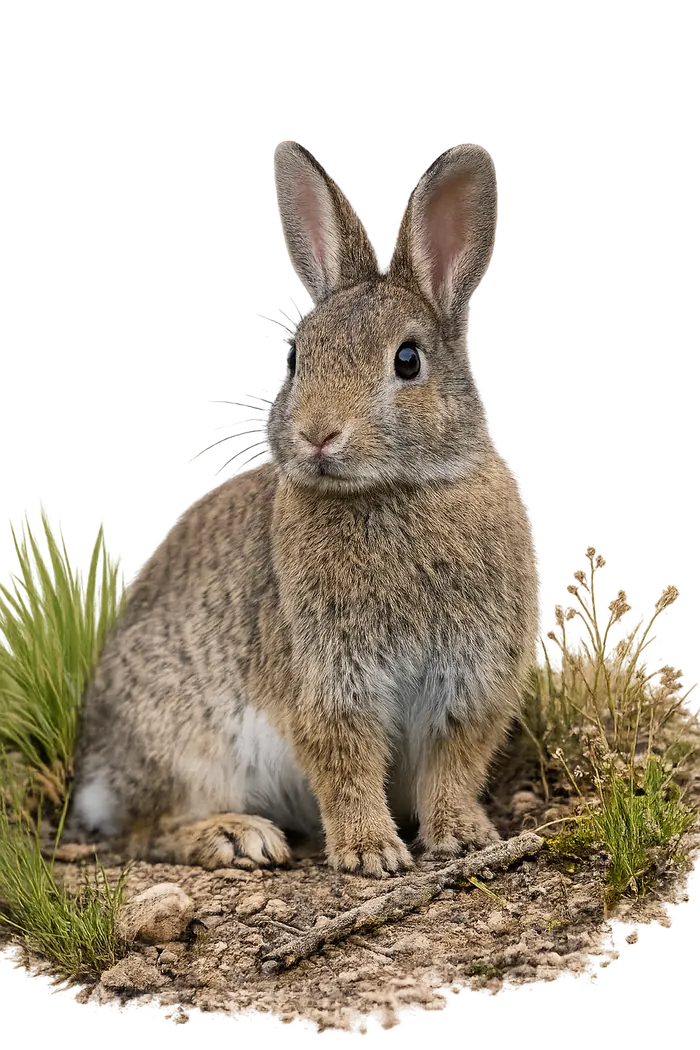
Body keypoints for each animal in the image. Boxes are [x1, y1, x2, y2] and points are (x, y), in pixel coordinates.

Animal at [67, 138, 543, 877]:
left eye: (408, 360)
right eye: (294, 358)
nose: (319, 434)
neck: (391, 491)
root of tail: (99, 780)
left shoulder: (471, 681)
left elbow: (453, 764)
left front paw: (463, 837)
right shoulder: (326, 677)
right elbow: (344, 761)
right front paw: (371, 852)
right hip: (188, 746)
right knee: (148, 831)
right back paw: (237, 836)